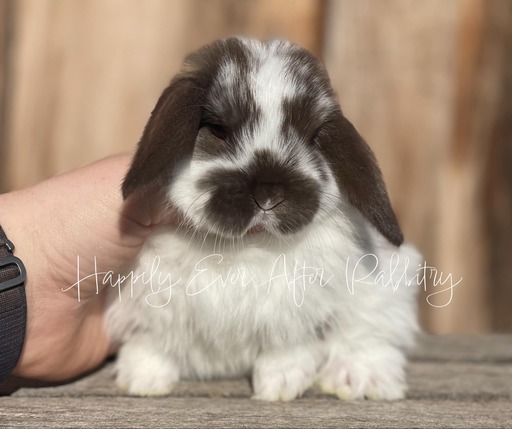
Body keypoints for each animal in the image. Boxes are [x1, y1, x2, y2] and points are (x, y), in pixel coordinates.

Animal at [106, 37, 422, 402]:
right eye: (218, 129)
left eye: (312, 137)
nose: (268, 195)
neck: (244, 247)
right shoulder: (152, 303)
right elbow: (151, 343)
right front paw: (143, 381)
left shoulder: (293, 312)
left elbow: (286, 349)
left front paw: (280, 386)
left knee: (367, 337)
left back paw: (361, 379)